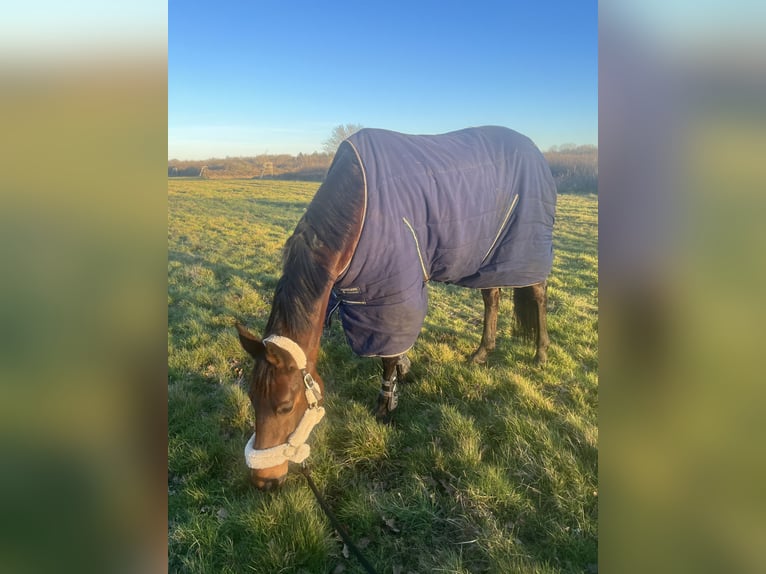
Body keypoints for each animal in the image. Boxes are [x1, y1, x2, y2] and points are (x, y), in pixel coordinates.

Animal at [236, 126, 560, 490]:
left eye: (284, 406)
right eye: (251, 398)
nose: (264, 480)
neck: (359, 209)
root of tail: (535, 151)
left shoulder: (390, 294)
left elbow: (387, 357)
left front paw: (386, 404)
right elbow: (394, 349)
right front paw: (405, 368)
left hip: (523, 249)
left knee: (538, 295)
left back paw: (540, 353)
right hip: (490, 259)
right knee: (492, 297)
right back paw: (481, 352)